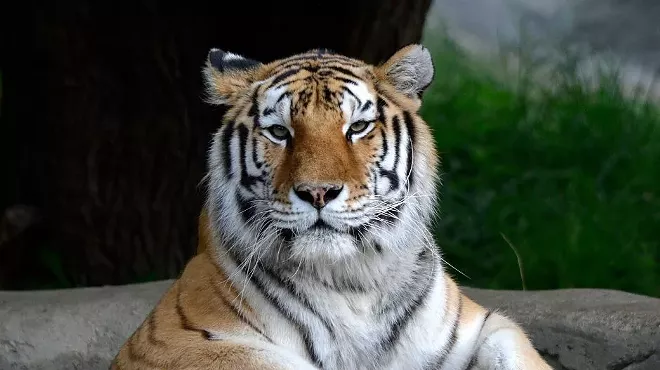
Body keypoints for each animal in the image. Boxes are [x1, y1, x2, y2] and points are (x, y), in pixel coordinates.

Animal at [111, 44, 548, 370]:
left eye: (357, 127)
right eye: (279, 132)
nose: (318, 193)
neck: (354, 283)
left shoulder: (477, 328)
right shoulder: (172, 341)